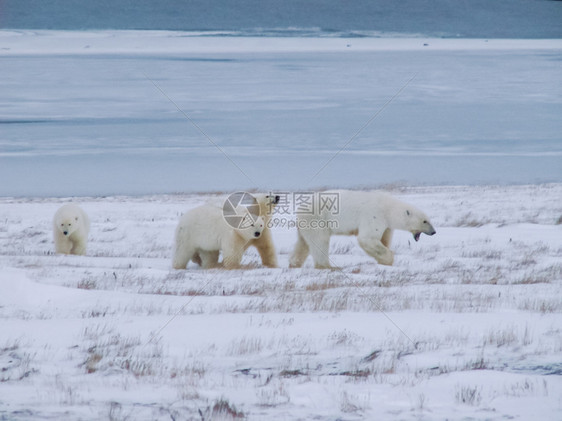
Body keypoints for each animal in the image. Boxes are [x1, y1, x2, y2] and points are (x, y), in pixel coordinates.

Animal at [288, 189, 434, 268]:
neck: (388, 208)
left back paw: (294, 264)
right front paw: (388, 259)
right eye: (424, 221)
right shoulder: (374, 215)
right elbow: (367, 238)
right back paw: (327, 266)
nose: (434, 232)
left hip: (306, 224)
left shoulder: (386, 225)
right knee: (320, 240)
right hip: (318, 218)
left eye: (429, 219)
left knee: (303, 243)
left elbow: (383, 239)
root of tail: (301, 209)